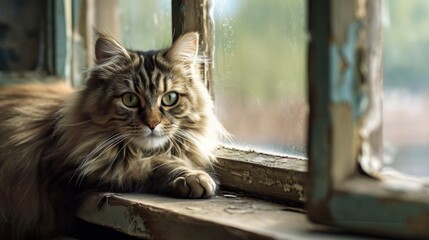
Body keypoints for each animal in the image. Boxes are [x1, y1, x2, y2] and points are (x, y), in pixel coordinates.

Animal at [0, 32, 224, 240]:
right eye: (130, 100)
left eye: (170, 98)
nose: (152, 123)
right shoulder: (74, 172)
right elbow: (152, 165)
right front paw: (193, 178)